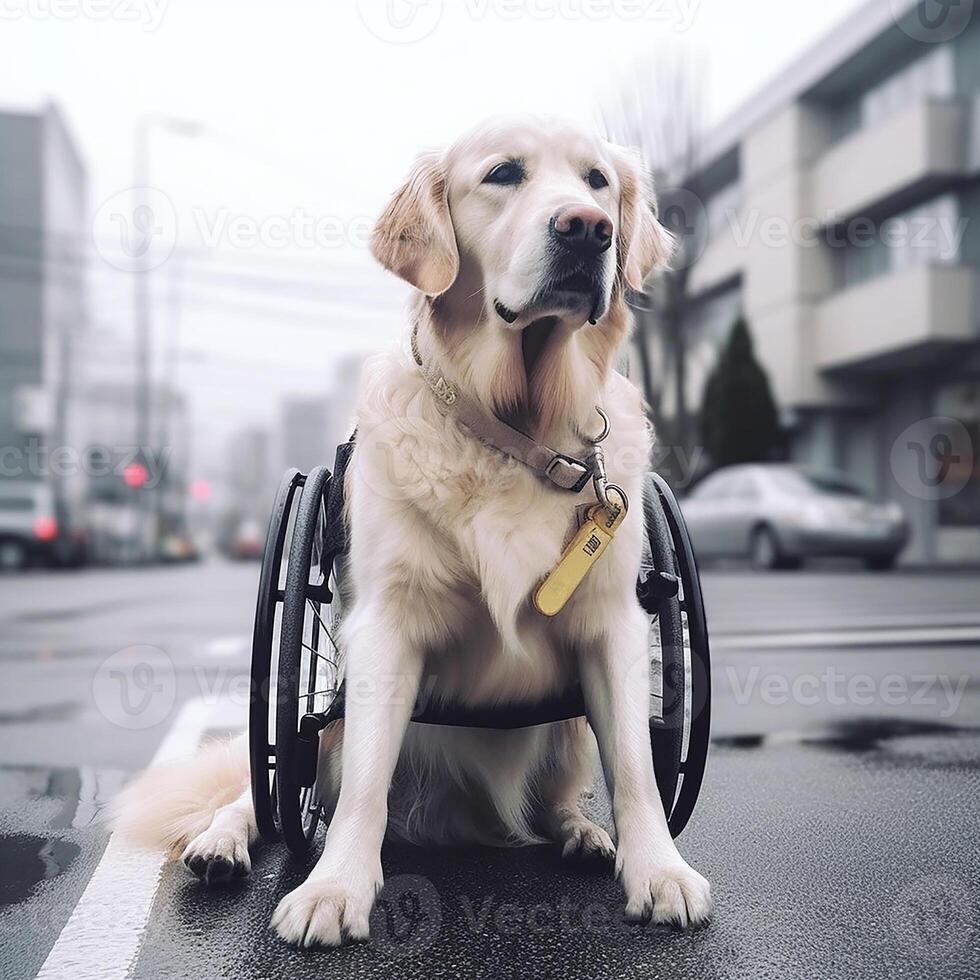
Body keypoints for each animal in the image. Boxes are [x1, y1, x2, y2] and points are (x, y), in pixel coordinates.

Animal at [113, 117, 712, 948]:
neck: (519, 429)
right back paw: (223, 841)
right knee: (268, 782)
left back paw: (581, 834)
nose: (588, 228)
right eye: (503, 174)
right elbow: (363, 781)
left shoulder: (610, 623)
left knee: (559, 793)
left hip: (564, 732)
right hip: (318, 731)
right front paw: (334, 887)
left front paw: (657, 870)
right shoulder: (385, 626)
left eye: (596, 182)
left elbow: (637, 769)